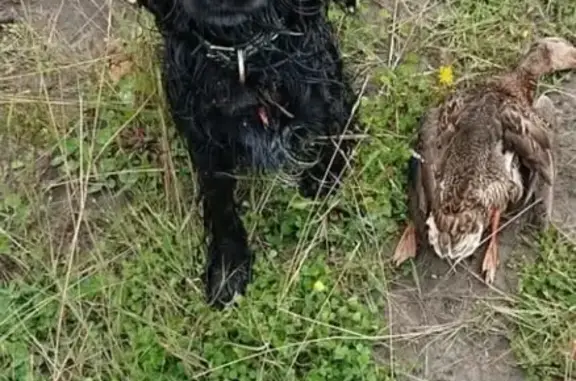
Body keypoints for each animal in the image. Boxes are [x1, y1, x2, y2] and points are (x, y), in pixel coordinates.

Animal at [137, 0, 358, 306]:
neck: (244, 54)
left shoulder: (331, 94)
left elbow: (337, 136)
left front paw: (323, 178)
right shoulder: (201, 131)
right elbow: (218, 198)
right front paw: (229, 265)